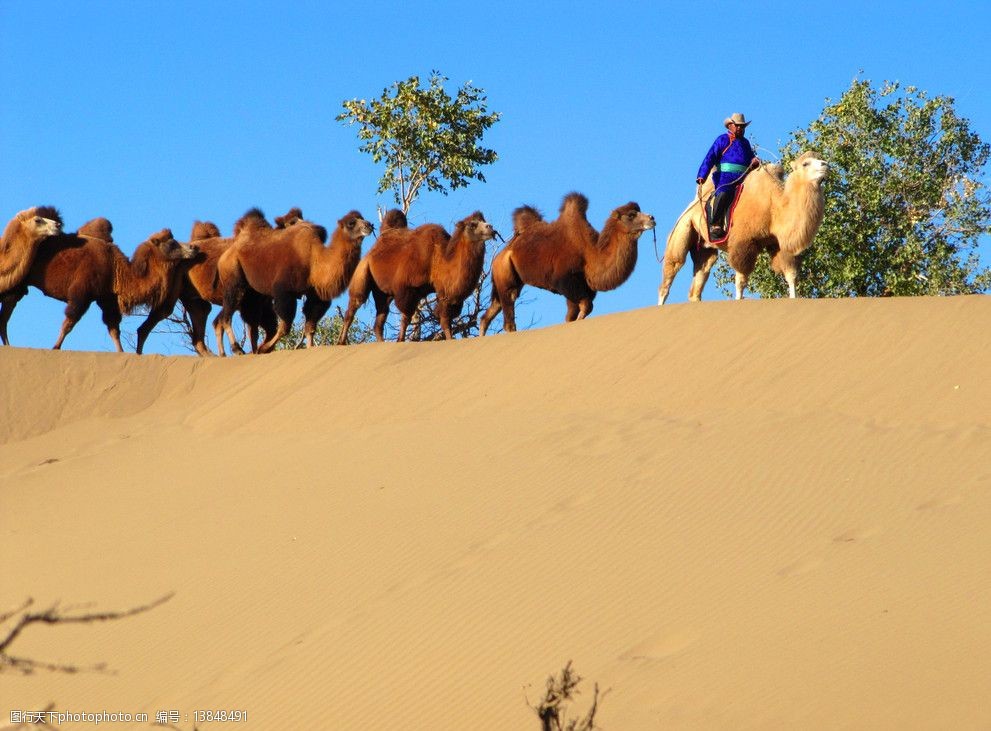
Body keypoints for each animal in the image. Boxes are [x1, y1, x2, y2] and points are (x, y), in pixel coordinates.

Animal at [0, 222, 200, 350]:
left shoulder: (106, 297)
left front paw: (122, 353)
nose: (193, 248)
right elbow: (69, 322)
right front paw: (55, 347)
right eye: (172, 243)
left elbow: (114, 329)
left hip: (17, 287)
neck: (117, 269)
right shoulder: (82, 293)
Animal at [217, 209, 372, 354]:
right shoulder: (284, 292)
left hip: (253, 293)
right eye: (351, 223)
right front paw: (265, 348)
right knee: (227, 315)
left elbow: (310, 327)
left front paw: (309, 348)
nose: (369, 225)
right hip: (233, 275)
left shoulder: (315, 296)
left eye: (362, 218)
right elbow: (285, 327)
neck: (314, 261)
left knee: (250, 323)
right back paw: (237, 348)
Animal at [340, 209, 496, 340]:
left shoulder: (447, 296)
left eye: (484, 220)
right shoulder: (406, 289)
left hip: (383, 293)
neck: (438, 260)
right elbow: (406, 319)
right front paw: (400, 341)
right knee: (352, 308)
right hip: (362, 271)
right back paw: (341, 342)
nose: (491, 228)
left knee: (379, 321)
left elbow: (445, 319)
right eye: (472, 224)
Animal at [476, 193, 656, 334]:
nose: (652, 218)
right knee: (509, 315)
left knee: (487, 315)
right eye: (631, 215)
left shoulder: (582, 289)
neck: (590, 254)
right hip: (505, 273)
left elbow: (571, 316)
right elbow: (586, 307)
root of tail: (502, 253)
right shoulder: (567, 283)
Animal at [664, 152, 832, 304]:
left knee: (698, 281)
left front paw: (793, 298)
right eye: (805, 163)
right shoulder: (743, 242)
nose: (826, 164)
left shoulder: (777, 243)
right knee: (670, 273)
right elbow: (741, 281)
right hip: (681, 231)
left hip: (704, 248)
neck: (773, 207)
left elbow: (791, 275)